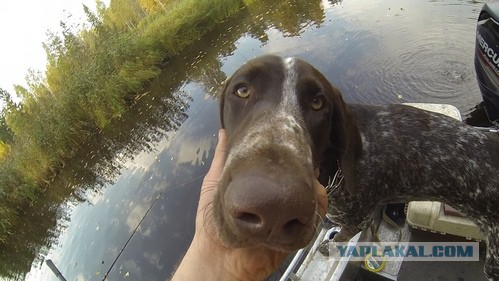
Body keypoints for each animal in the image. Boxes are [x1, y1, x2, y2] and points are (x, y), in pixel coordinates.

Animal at [212, 54, 499, 278]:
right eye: (242, 90)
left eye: (318, 102)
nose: (272, 205)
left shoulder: (356, 219)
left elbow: (340, 238)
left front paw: (327, 247)